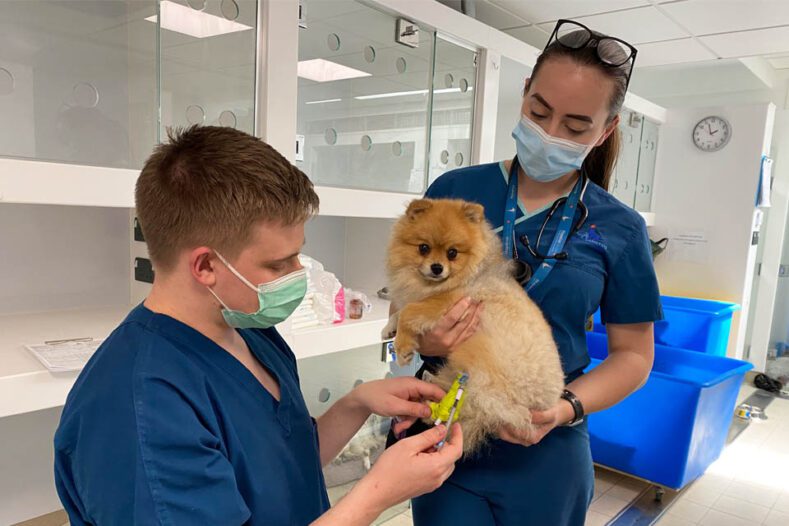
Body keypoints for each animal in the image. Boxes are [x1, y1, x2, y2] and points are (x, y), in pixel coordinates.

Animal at [384, 198, 564, 454]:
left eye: (452, 253)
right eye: (423, 248)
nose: (437, 267)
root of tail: (542, 404)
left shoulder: (449, 301)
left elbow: (409, 312)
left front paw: (403, 348)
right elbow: (400, 311)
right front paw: (389, 328)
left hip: (483, 372)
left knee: (468, 407)